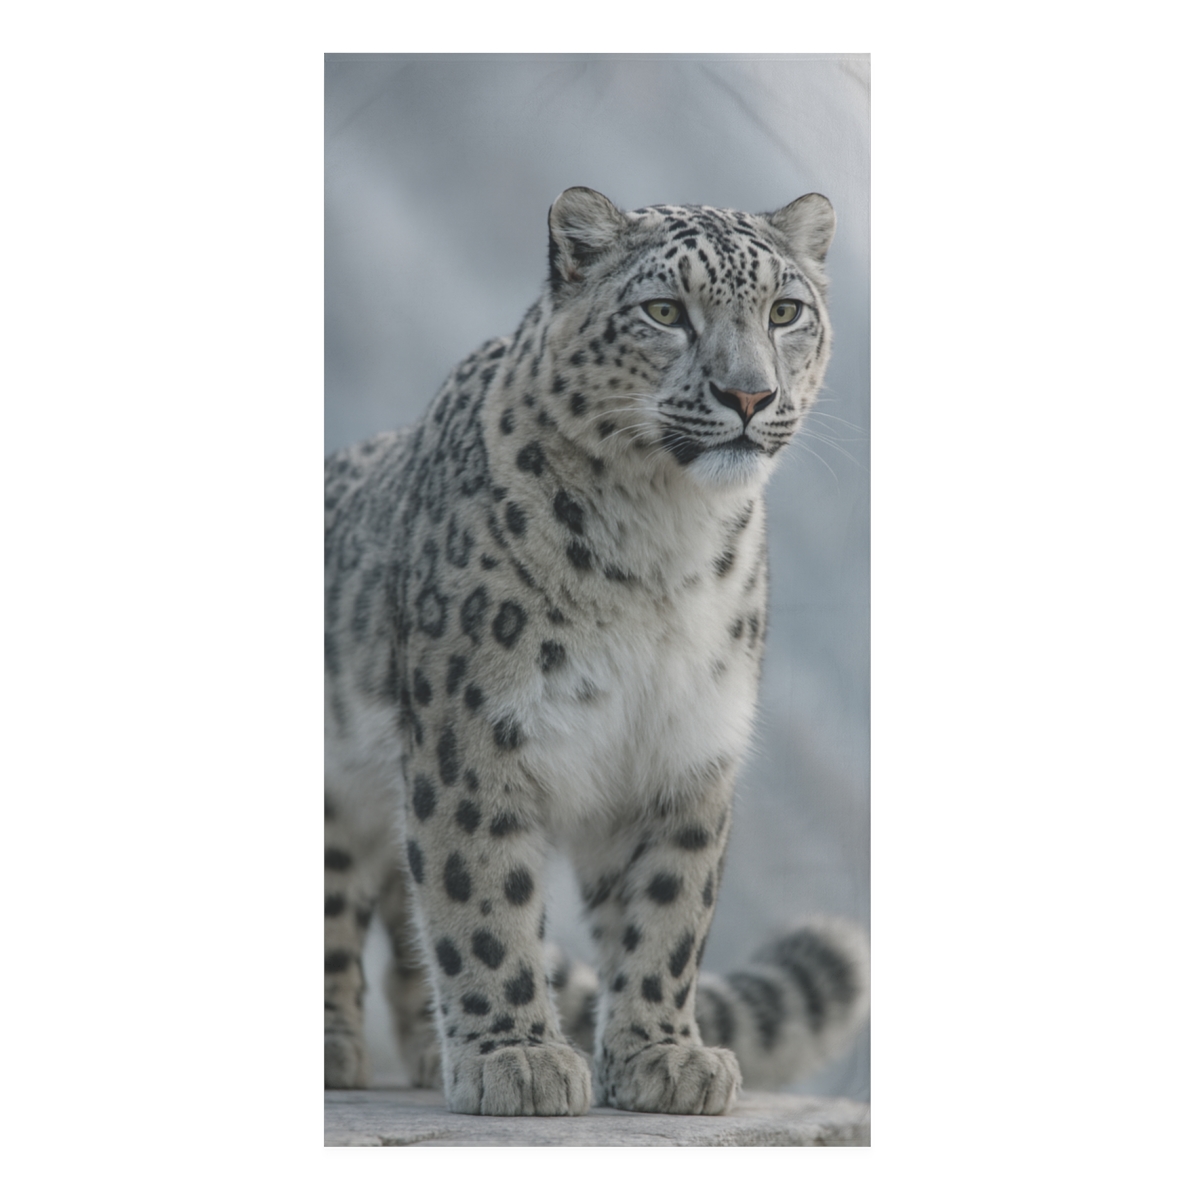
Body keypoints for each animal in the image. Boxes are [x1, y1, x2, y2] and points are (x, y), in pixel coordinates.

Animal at [324, 187, 869, 1117]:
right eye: (665, 312)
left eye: (785, 311)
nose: (750, 394)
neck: (664, 547)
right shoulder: (476, 740)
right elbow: (481, 895)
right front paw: (517, 1058)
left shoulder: (686, 749)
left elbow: (668, 909)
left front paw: (666, 1057)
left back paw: (429, 1053)